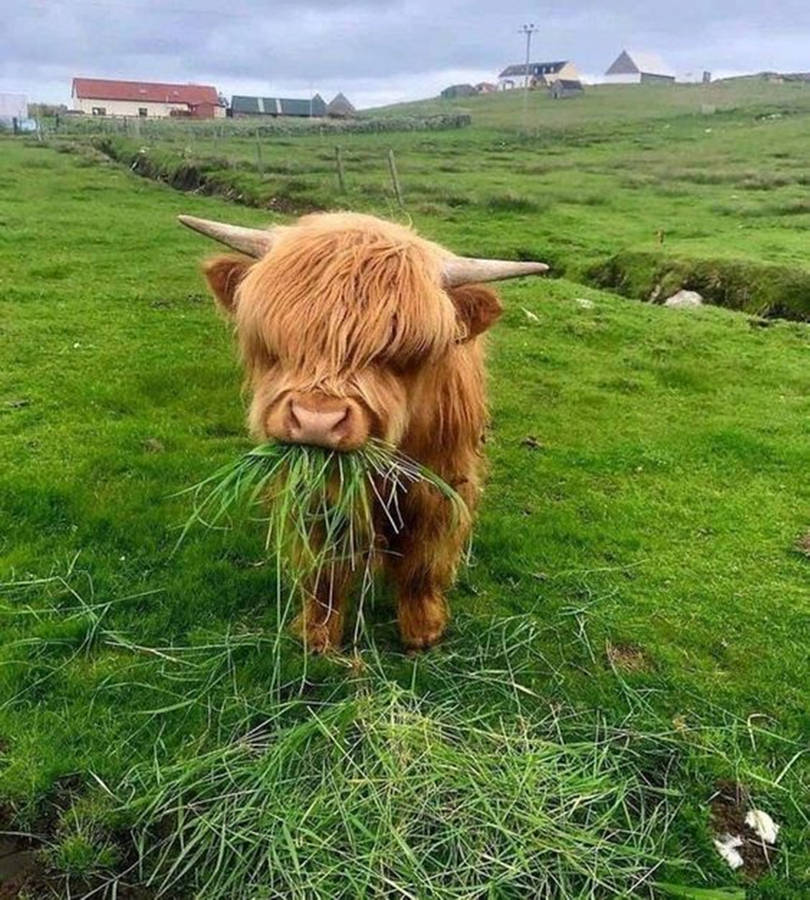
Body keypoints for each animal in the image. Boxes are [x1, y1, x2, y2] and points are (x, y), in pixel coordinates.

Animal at [177, 214, 544, 652]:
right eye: (277, 342)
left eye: (401, 353)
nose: (317, 420)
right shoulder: (316, 490)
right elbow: (324, 564)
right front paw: (317, 633)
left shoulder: (440, 481)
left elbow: (424, 556)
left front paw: (423, 629)